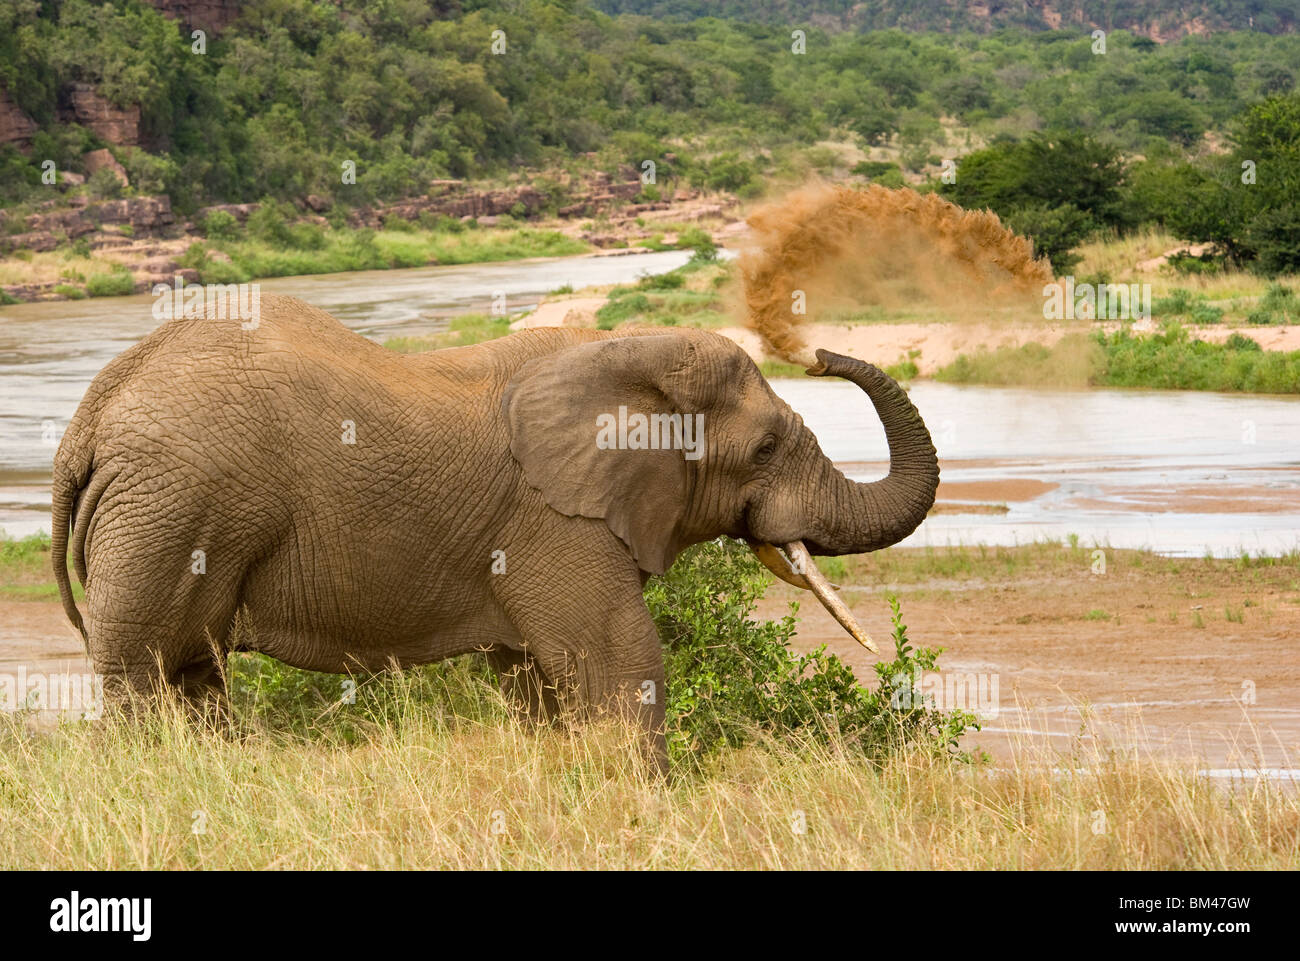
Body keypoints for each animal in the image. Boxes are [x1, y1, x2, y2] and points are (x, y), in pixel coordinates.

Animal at [53, 292, 935, 764]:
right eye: (764, 448)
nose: (820, 354)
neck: (622, 352)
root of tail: (93, 410)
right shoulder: (558, 518)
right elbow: (619, 657)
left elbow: (534, 676)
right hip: (173, 509)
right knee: (144, 676)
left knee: (190, 677)